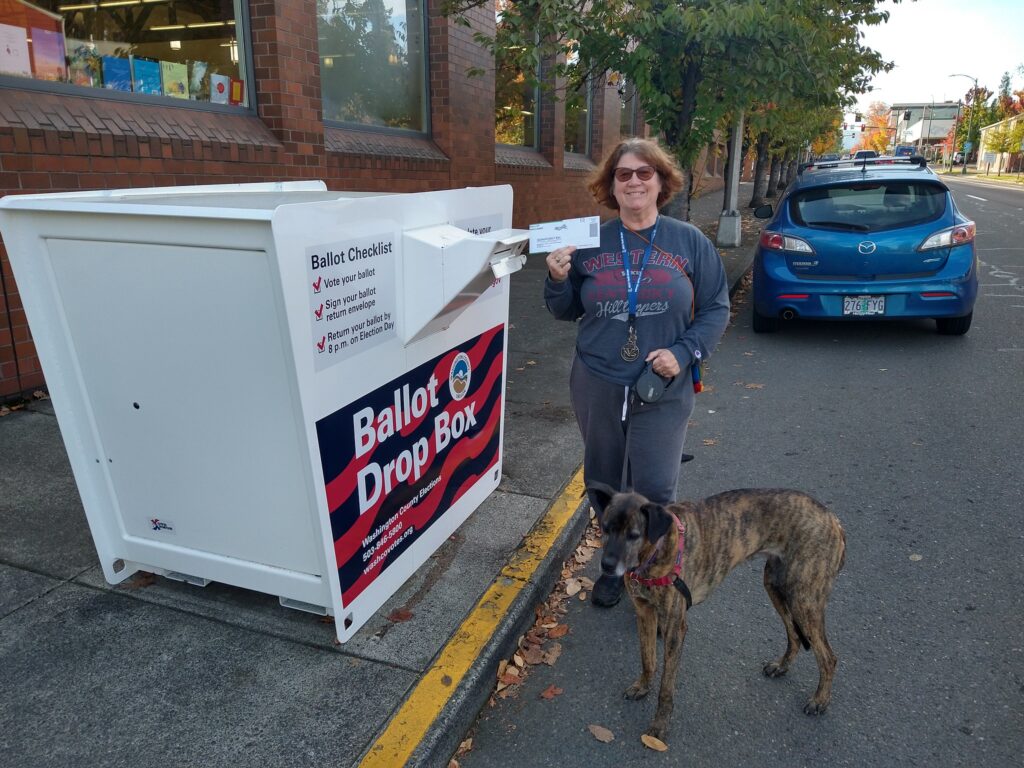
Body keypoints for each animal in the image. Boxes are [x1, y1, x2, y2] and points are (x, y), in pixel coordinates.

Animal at [593, 487, 847, 745]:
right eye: (606, 528)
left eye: (633, 535)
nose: (607, 565)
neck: (656, 551)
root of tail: (832, 519)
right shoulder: (644, 614)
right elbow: (647, 659)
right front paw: (643, 686)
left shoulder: (675, 630)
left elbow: (666, 687)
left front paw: (660, 725)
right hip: (775, 585)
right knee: (794, 635)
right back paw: (781, 666)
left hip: (804, 599)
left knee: (828, 657)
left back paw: (820, 700)